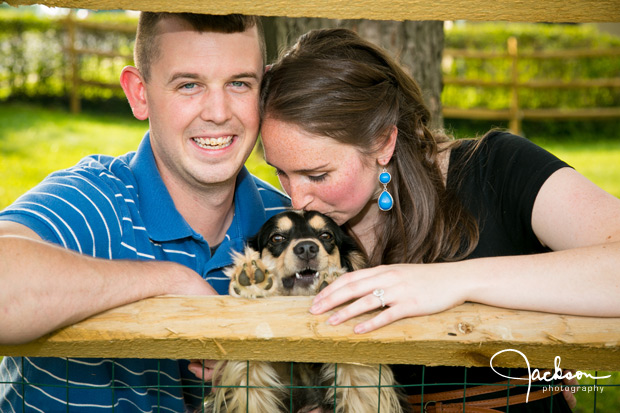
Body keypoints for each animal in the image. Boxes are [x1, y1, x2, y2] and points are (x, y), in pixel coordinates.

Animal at [203, 209, 406, 412]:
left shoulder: (364, 387)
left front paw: (334, 282)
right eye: (277, 238)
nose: (307, 248)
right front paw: (253, 282)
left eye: (326, 235)